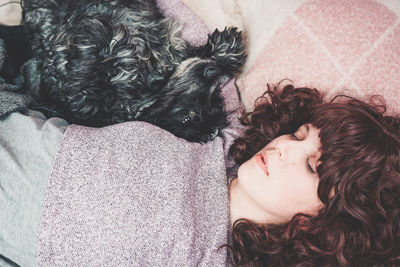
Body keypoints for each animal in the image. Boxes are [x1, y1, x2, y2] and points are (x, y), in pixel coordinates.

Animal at [24, 0, 247, 142]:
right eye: (216, 94)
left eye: (187, 119)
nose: (211, 71)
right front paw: (227, 49)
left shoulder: (87, 105)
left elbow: (93, 84)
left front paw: (104, 37)